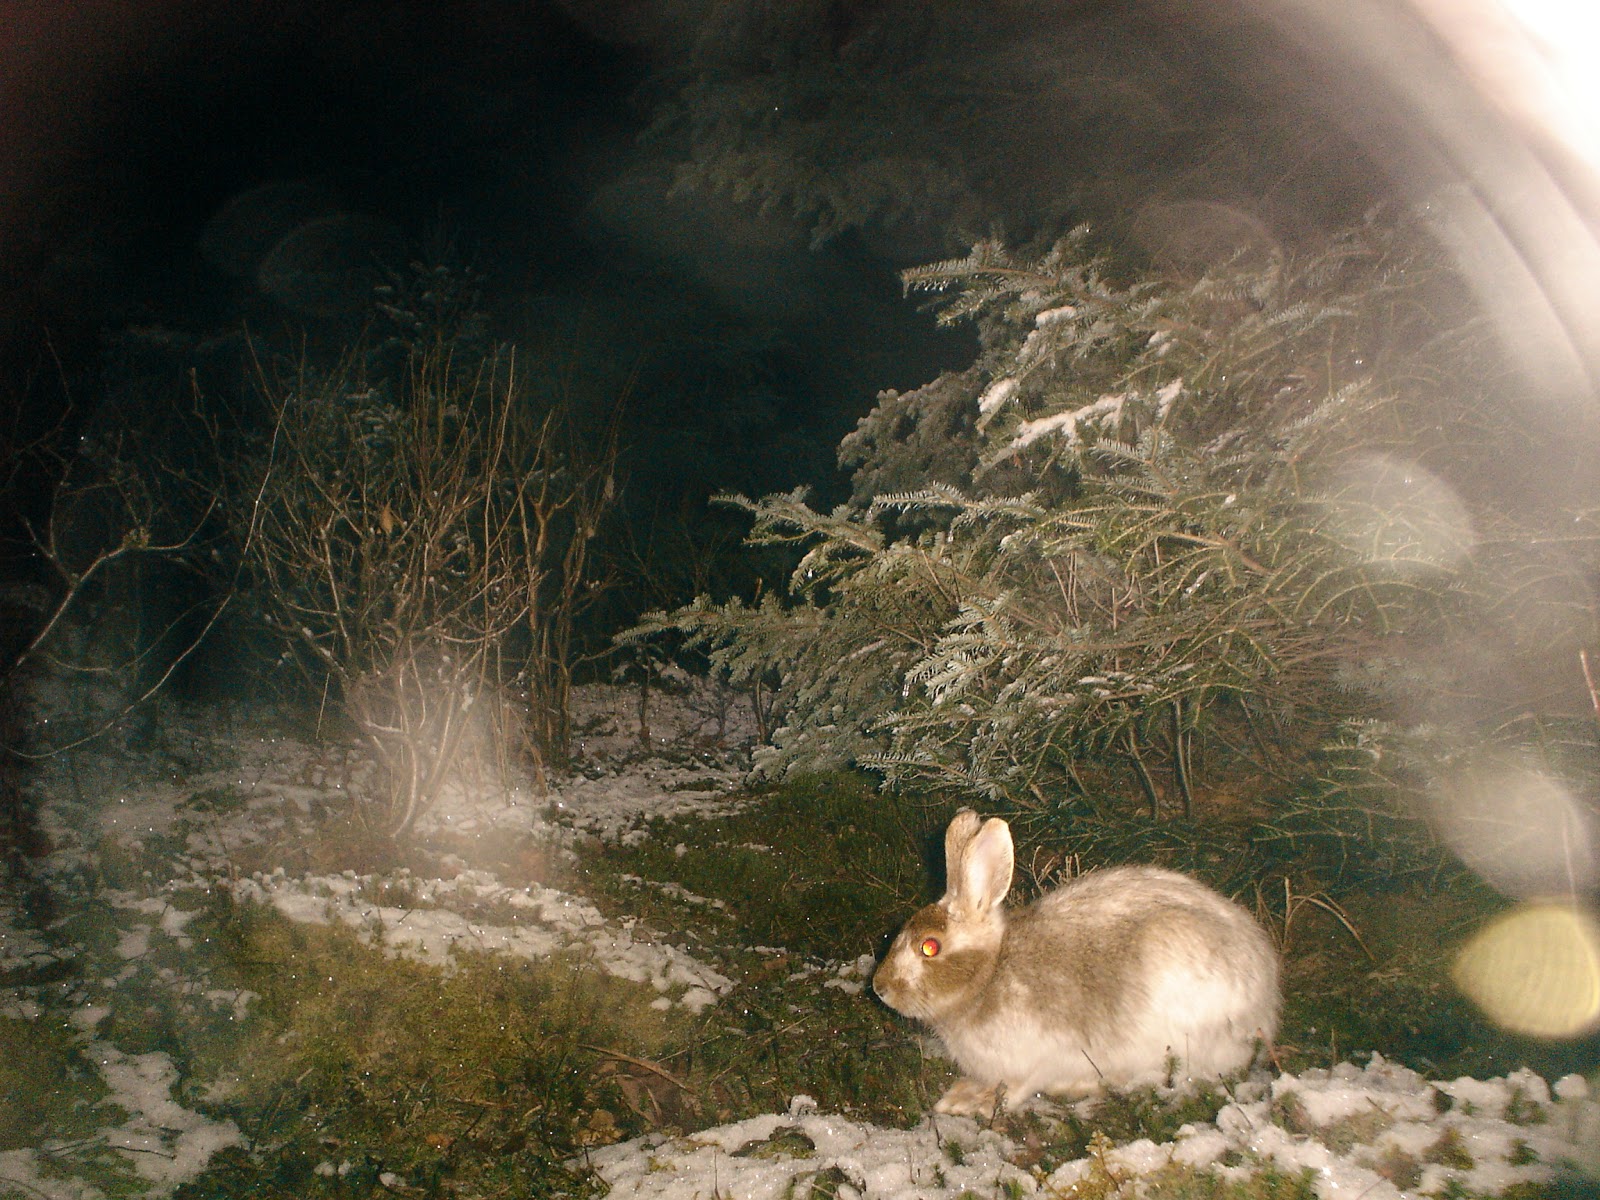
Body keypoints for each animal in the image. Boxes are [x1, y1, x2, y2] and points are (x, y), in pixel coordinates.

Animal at [872, 810, 1279, 1115]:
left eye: (929, 947)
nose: (879, 987)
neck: (989, 974)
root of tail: (1265, 1008)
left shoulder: (1036, 1053)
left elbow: (1020, 1087)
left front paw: (972, 1102)